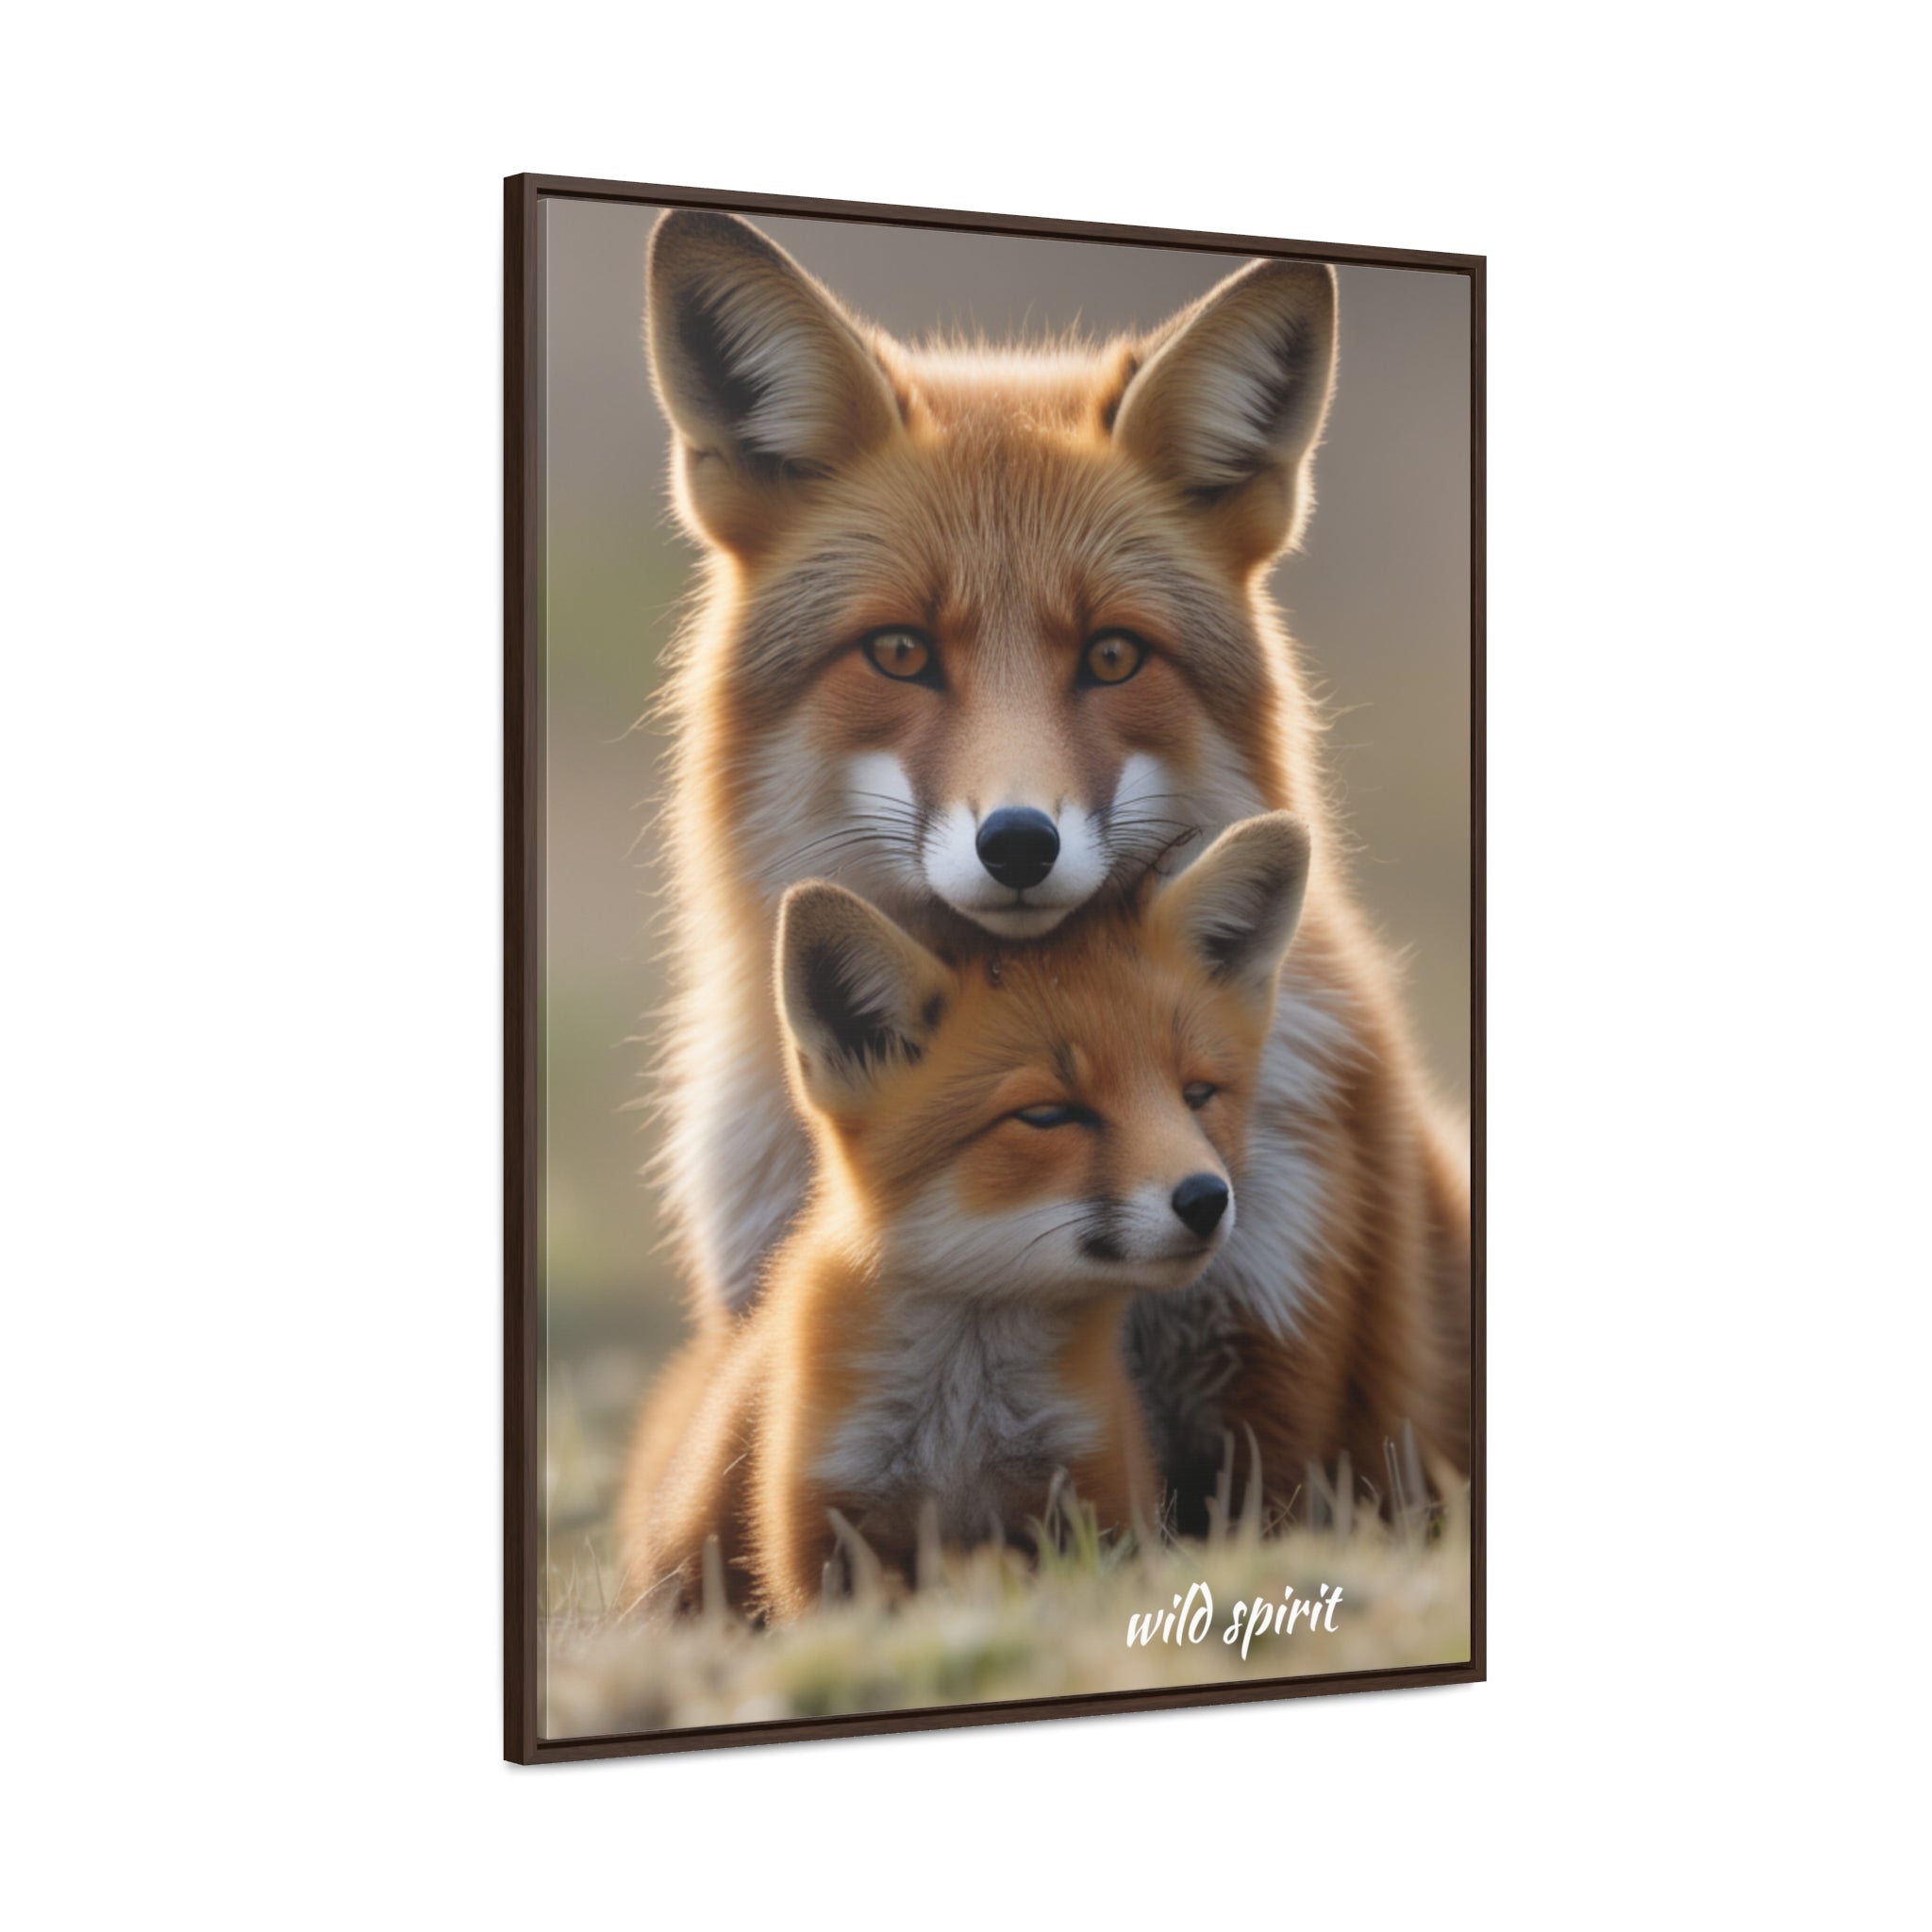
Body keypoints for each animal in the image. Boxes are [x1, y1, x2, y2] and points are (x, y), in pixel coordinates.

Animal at [619, 814, 1313, 1617]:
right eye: (1047, 1115)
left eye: (1198, 1095)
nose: (1206, 1198)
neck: (962, 1428)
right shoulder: (820, 1534)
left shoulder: (1096, 1498)